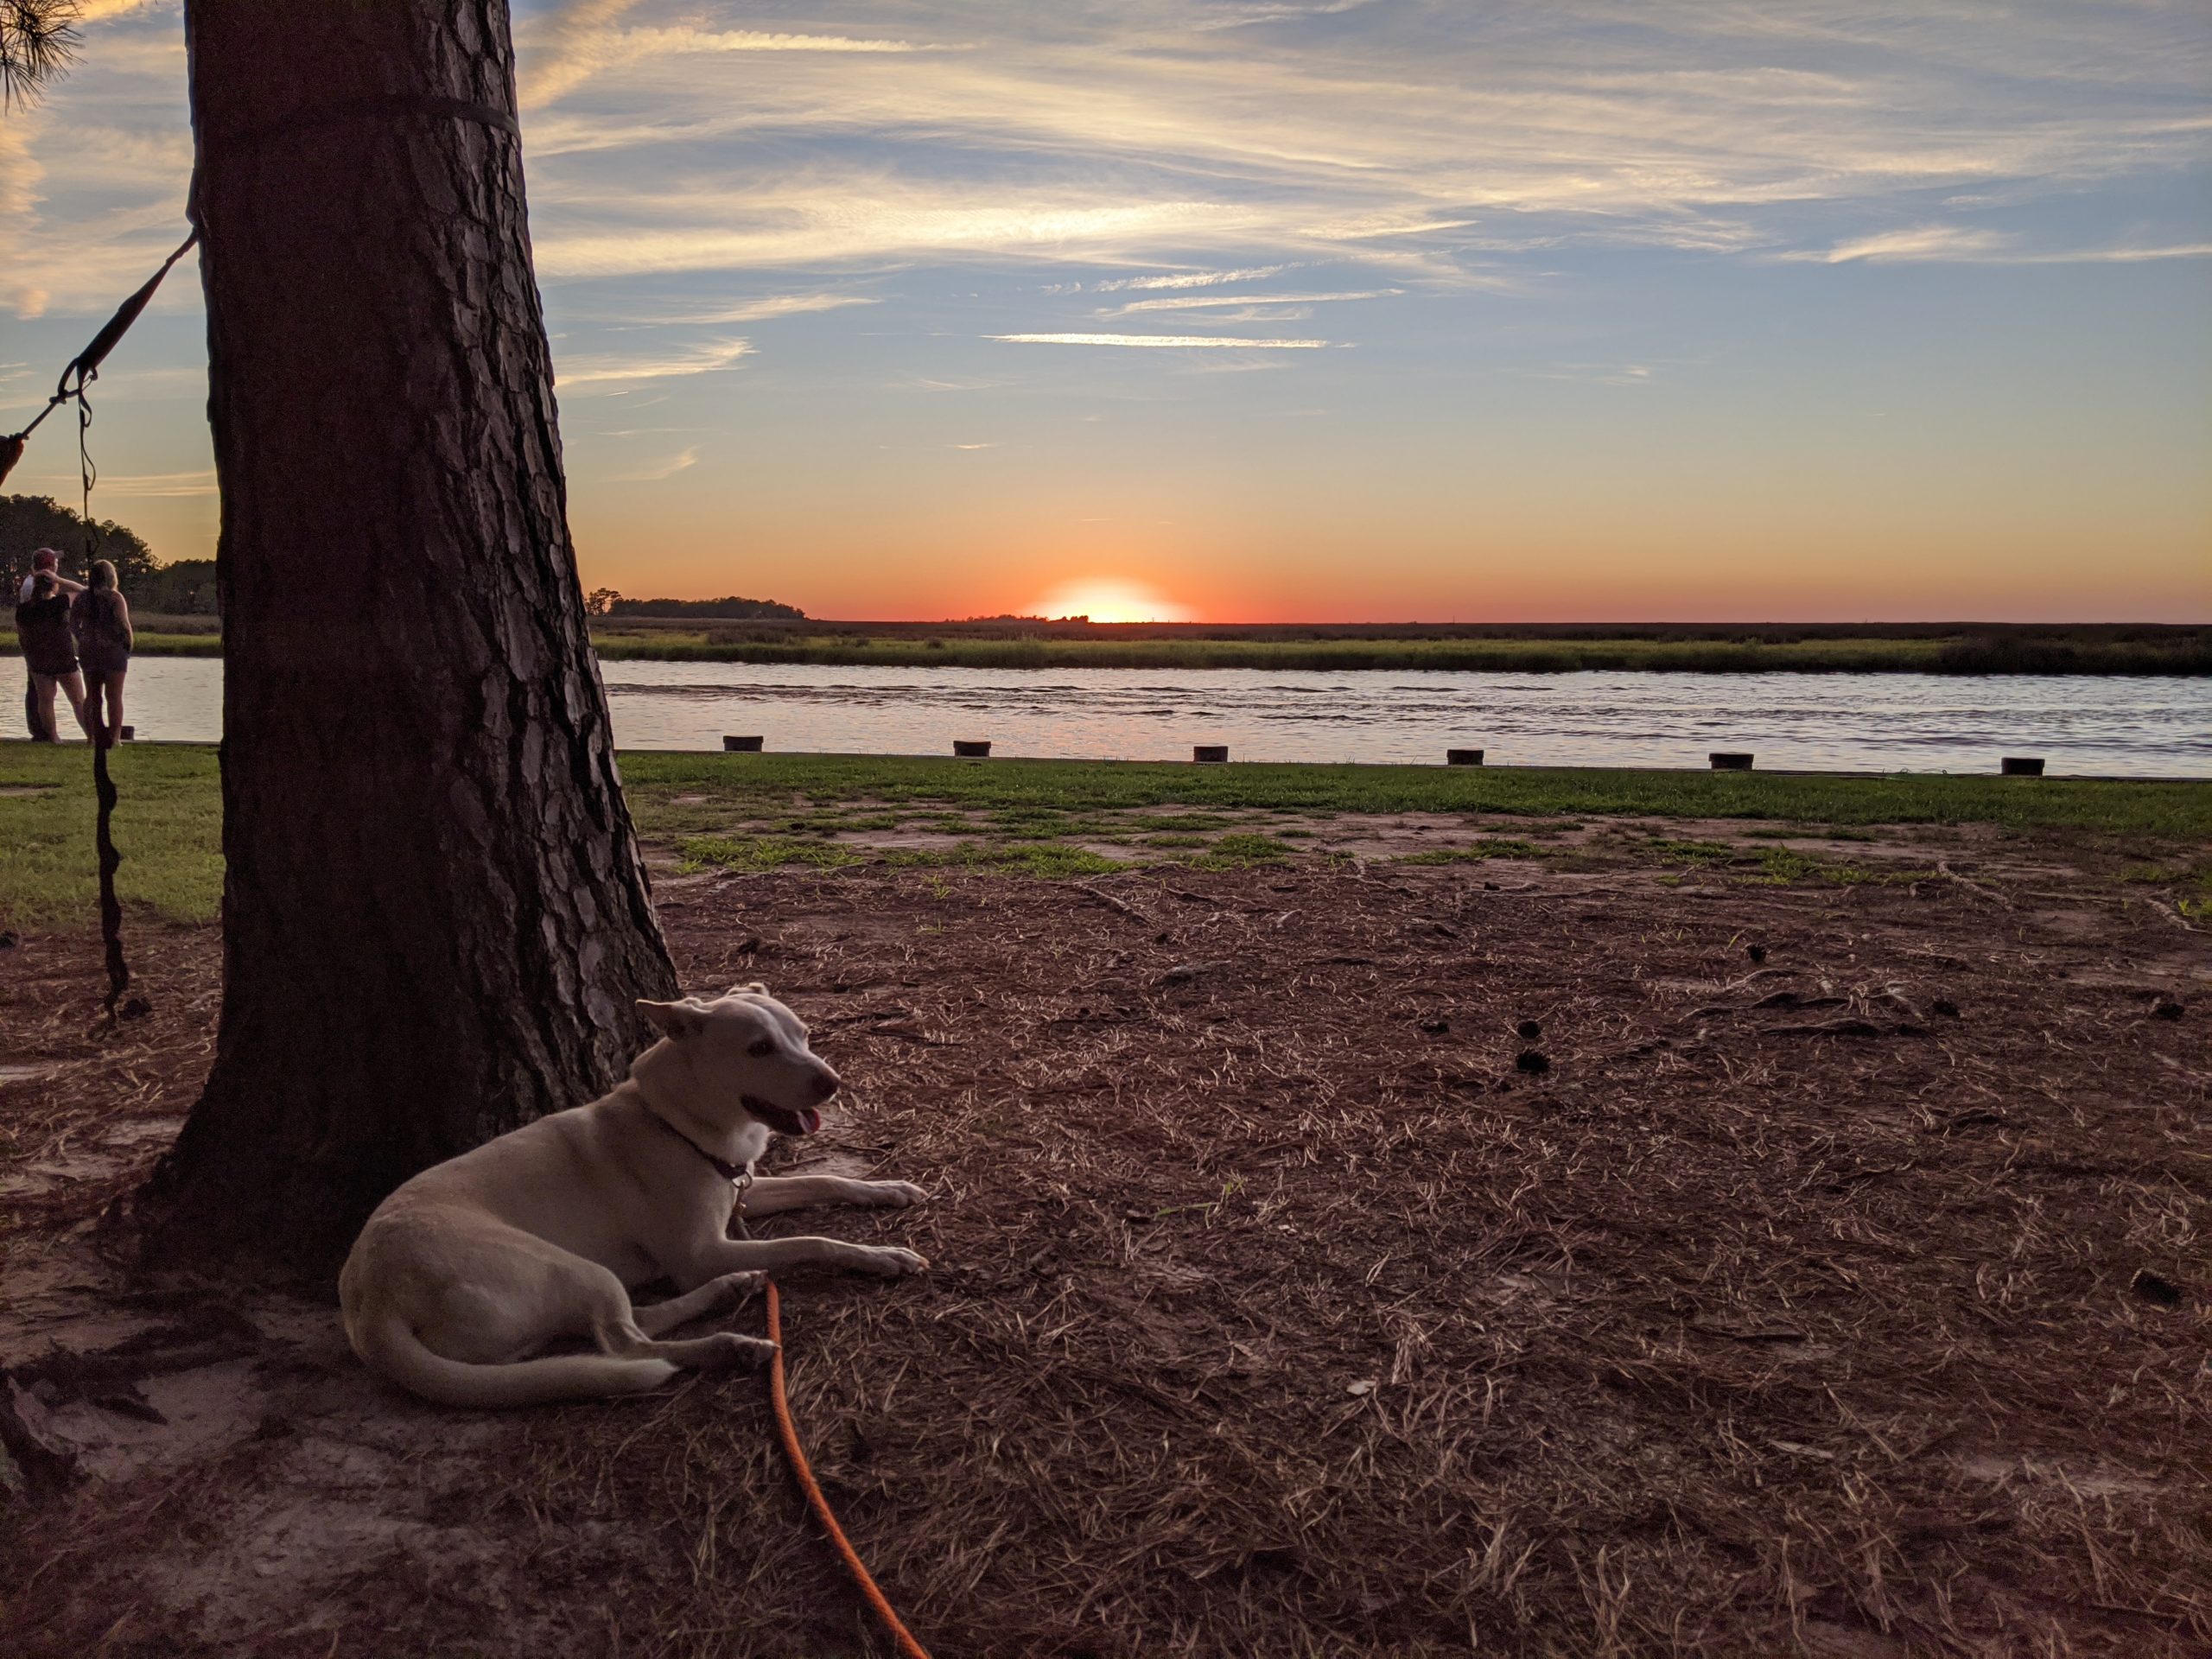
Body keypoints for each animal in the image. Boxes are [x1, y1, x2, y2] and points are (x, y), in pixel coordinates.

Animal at [342, 995, 925, 1407]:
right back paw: (728, 1346)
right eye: (759, 1048)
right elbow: (813, 1241)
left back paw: (729, 1291)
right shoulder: (701, 1253)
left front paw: (889, 1190)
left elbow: (825, 1180)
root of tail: (371, 1301)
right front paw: (880, 1257)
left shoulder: (742, 1192)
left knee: (633, 1322)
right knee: (628, 1345)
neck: (675, 1124)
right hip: (569, 1268)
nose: (833, 1082)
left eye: (802, 1035)